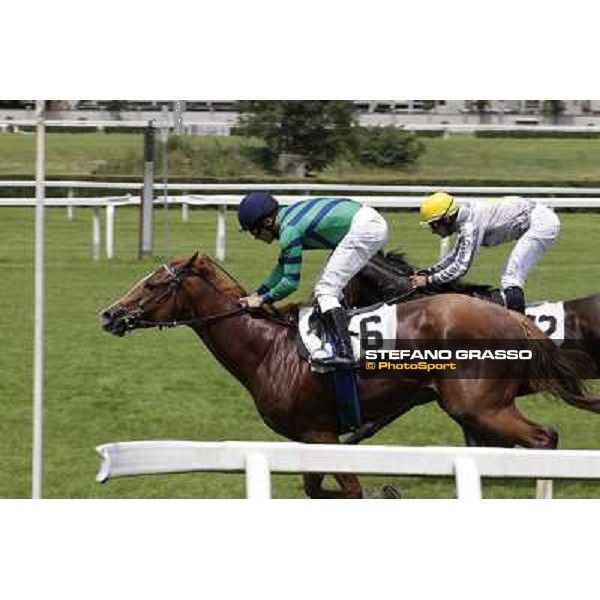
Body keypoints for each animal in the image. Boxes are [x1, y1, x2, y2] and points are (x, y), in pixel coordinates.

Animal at [101, 252, 596, 496]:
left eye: (152, 284)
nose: (109, 314)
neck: (268, 351)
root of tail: (513, 319)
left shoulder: (321, 435)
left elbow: (351, 489)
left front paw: (384, 492)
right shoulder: (312, 438)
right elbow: (316, 491)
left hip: (477, 404)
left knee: (543, 438)